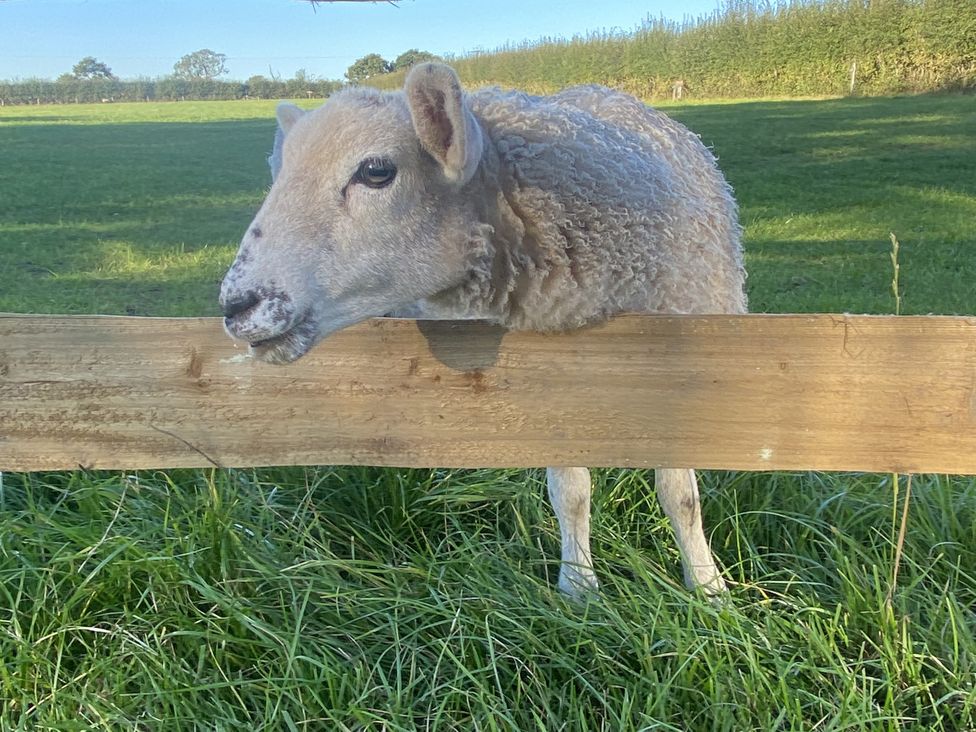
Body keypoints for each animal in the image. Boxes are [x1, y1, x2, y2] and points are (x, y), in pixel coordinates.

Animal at [220, 63, 746, 597]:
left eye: (376, 171)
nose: (236, 306)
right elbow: (570, 492)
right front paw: (578, 588)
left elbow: (680, 495)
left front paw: (707, 588)